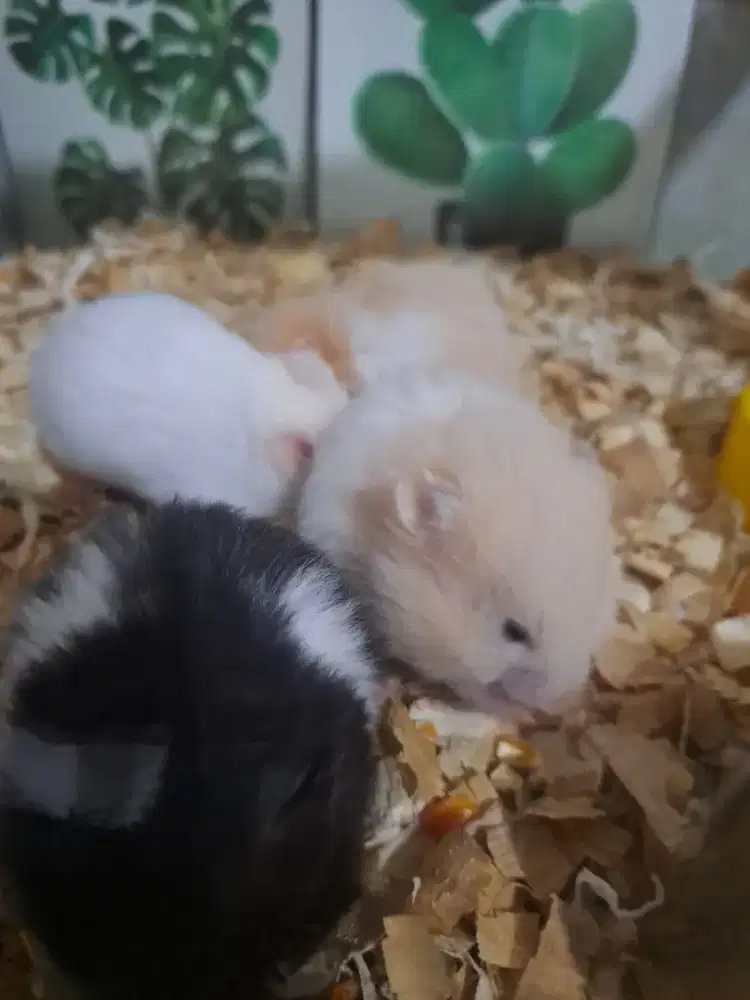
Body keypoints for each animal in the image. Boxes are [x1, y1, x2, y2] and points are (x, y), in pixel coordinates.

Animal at [298, 370, 618, 720]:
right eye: (514, 632)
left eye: (592, 617)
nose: (558, 701)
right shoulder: (444, 652)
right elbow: (477, 688)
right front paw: (518, 714)